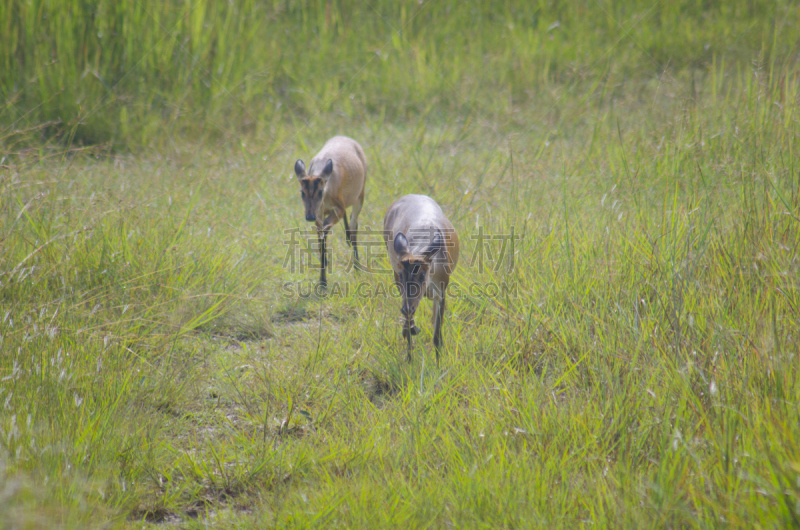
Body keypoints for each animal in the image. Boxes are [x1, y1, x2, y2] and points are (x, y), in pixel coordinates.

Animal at [296, 134, 368, 286]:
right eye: (302, 192)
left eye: (320, 192)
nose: (309, 216)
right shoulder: (319, 213)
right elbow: (321, 235)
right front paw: (323, 279)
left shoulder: (338, 207)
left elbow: (326, 229)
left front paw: (323, 281)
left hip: (361, 193)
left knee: (354, 225)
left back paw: (357, 266)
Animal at [384, 192, 460, 360]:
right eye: (401, 275)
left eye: (422, 274)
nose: (406, 308)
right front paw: (409, 358)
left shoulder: (442, 289)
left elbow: (437, 335)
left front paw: (439, 363)